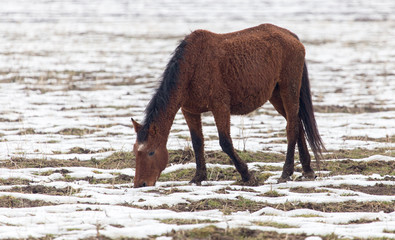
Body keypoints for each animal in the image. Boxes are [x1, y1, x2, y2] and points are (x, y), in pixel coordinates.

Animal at [131, 23, 326, 188]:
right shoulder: (190, 111)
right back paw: (308, 170)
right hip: (276, 95)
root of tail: (291, 36)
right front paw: (198, 177)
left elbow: (225, 142)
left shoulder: (220, 107)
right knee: (297, 123)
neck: (192, 66)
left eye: (151, 152)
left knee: (292, 127)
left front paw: (247, 175)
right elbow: (197, 142)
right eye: (135, 152)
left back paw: (286, 173)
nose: (140, 184)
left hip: (288, 89)